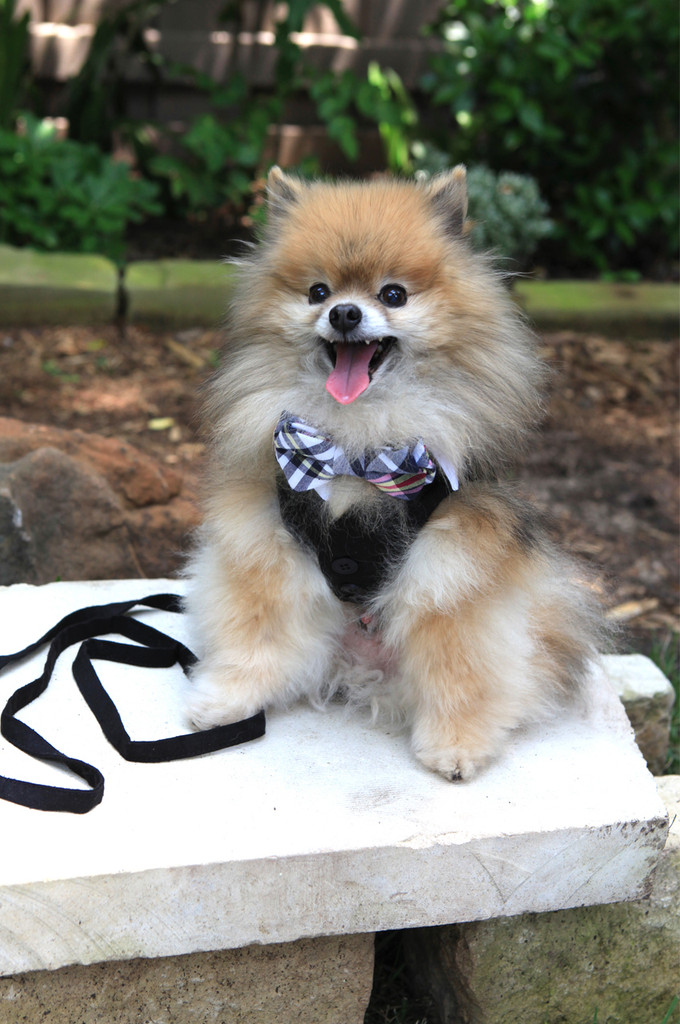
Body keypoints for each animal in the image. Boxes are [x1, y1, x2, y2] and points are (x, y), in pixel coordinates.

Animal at [184, 163, 602, 778]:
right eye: (318, 292)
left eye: (393, 294)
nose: (344, 313)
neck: (355, 449)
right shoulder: (267, 542)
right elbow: (257, 632)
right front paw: (228, 698)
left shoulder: (454, 561)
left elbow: (456, 657)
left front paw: (455, 743)